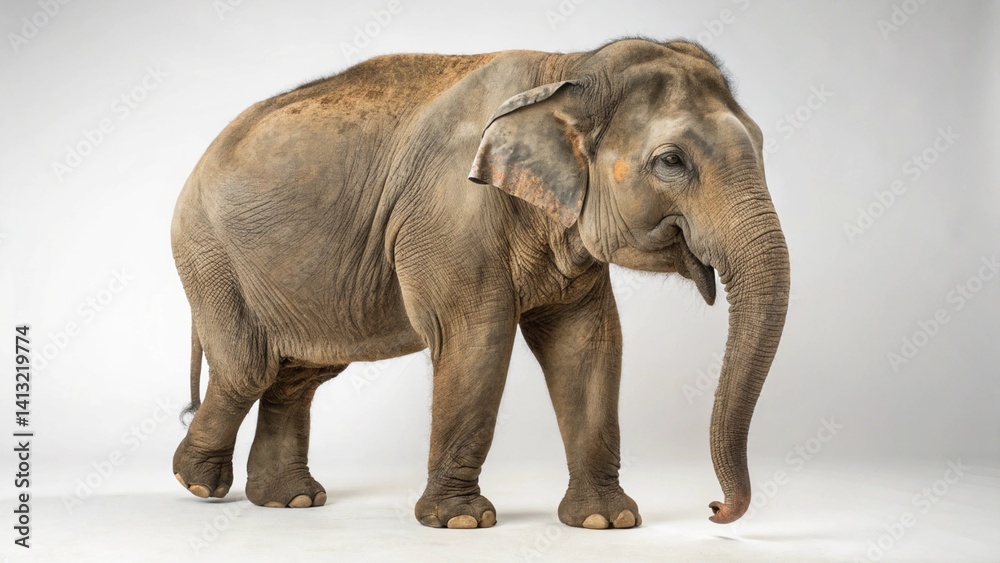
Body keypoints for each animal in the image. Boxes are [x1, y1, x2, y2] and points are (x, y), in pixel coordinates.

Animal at [170, 37, 790, 530]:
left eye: (763, 145)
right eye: (671, 161)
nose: (714, 509)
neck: (568, 68)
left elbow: (589, 343)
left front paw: (605, 521)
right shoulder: (449, 216)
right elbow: (476, 337)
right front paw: (461, 522)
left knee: (301, 373)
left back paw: (290, 502)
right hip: (210, 255)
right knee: (249, 367)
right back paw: (199, 483)